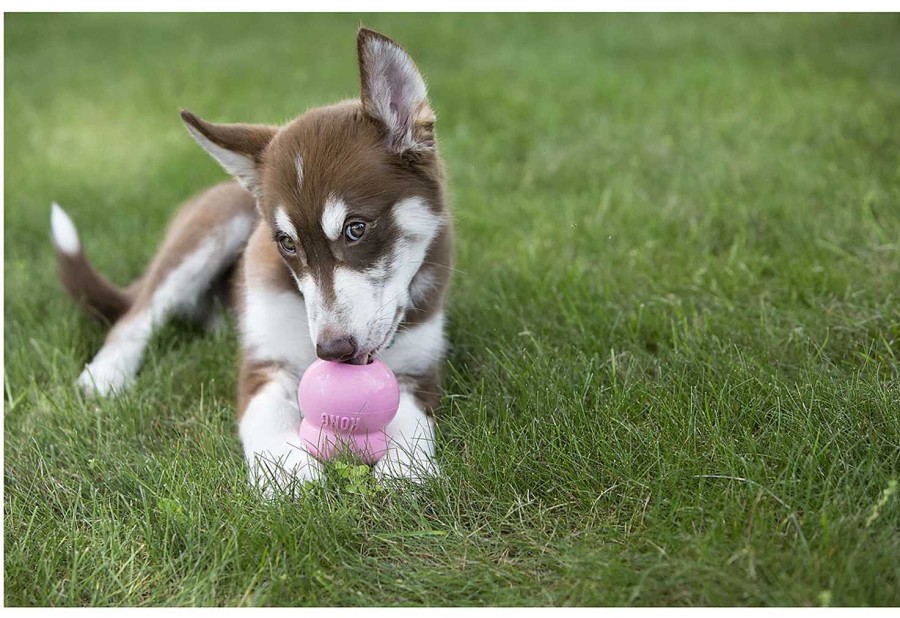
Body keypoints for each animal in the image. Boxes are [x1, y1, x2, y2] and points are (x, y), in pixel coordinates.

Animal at [51, 27, 450, 490]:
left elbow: (408, 416)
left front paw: (406, 470)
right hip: (209, 229)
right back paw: (106, 374)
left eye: (356, 229)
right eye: (287, 243)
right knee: (139, 312)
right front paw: (288, 473)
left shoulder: (419, 369)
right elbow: (268, 412)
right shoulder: (264, 361)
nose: (332, 351)